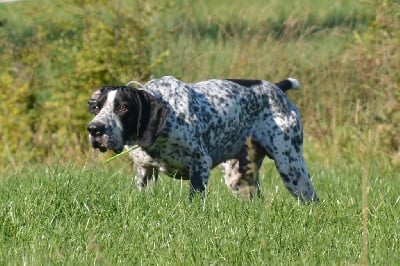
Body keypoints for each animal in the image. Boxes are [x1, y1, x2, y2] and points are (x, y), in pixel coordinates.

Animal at [88, 76, 318, 203]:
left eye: (123, 107)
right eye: (97, 107)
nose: (94, 129)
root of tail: (277, 87)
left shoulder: (199, 165)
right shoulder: (145, 171)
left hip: (292, 169)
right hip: (238, 177)